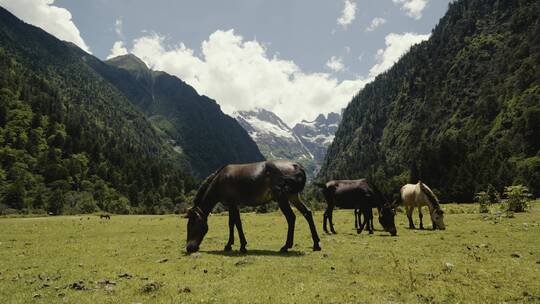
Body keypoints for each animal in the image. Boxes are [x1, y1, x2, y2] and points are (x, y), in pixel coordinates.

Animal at [186, 160, 320, 253]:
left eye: (192, 225)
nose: (189, 248)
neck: (220, 180)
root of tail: (296, 165)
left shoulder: (233, 204)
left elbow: (237, 223)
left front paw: (242, 246)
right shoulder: (231, 205)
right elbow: (231, 223)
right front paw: (229, 245)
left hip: (282, 198)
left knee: (291, 218)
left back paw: (286, 246)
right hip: (293, 196)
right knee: (307, 213)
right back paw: (316, 244)